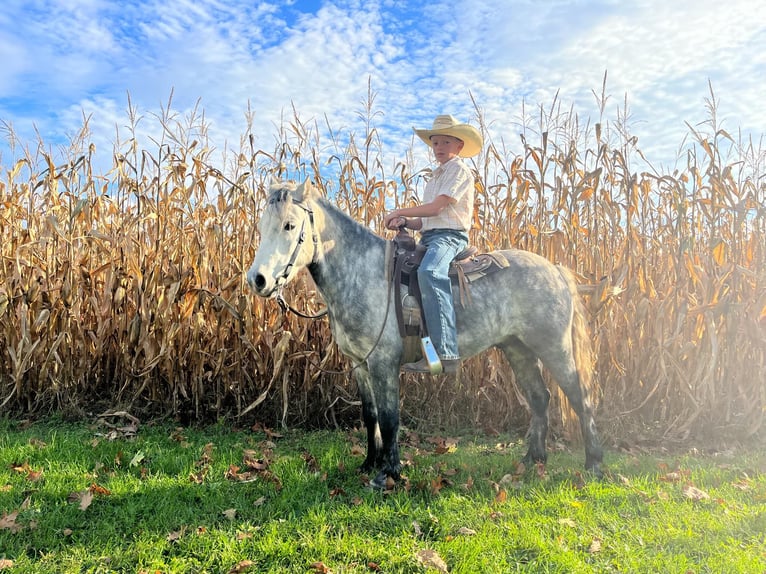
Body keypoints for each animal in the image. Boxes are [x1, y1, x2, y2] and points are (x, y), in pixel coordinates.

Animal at [247, 179, 603, 488]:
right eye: (262, 225)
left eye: (289, 225)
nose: (257, 280)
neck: (364, 273)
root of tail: (556, 269)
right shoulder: (360, 364)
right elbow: (370, 415)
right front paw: (369, 463)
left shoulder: (383, 363)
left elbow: (390, 417)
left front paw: (388, 474)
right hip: (519, 350)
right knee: (540, 398)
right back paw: (533, 460)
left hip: (555, 348)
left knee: (580, 397)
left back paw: (594, 464)